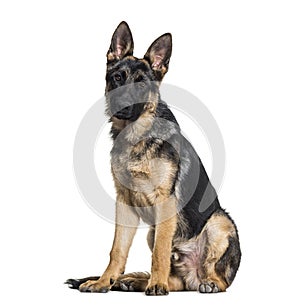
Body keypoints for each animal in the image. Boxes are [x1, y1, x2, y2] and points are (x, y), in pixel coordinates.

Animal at [66, 20, 241, 294]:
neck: (137, 135)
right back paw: (132, 281)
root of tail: (194, 277)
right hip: (152, 232)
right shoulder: (124, 203)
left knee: (220, 279)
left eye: (141, 84)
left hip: (219, 222)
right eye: (117, 77)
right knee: (176, 280)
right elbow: (117, 250)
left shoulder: (165, 202)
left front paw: (156, 284)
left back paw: (205, 283)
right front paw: (104, 281)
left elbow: (160, 252)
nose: (122, 105)